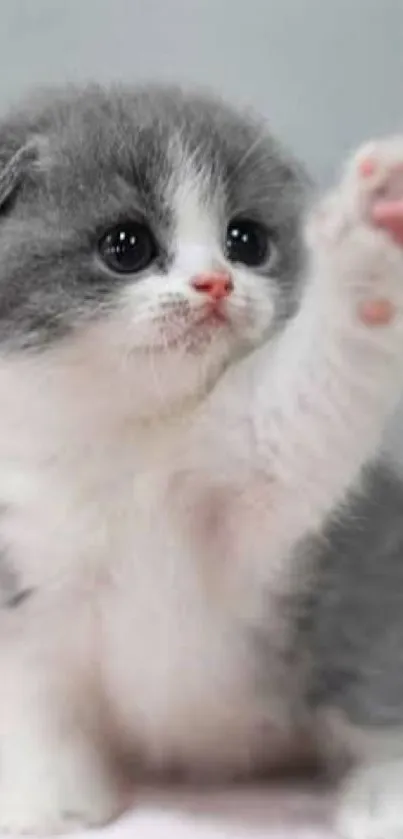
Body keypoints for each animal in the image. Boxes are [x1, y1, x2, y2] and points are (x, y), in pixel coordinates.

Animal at [0, 82, 403, 836]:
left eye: (246, 240)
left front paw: (370, 235)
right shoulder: (20, 558)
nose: (216, 283)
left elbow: (308, 405)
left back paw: (383, 797)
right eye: (126, 245)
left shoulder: (249, 479)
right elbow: (28, 688)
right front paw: (46, 795)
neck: (119, 436)